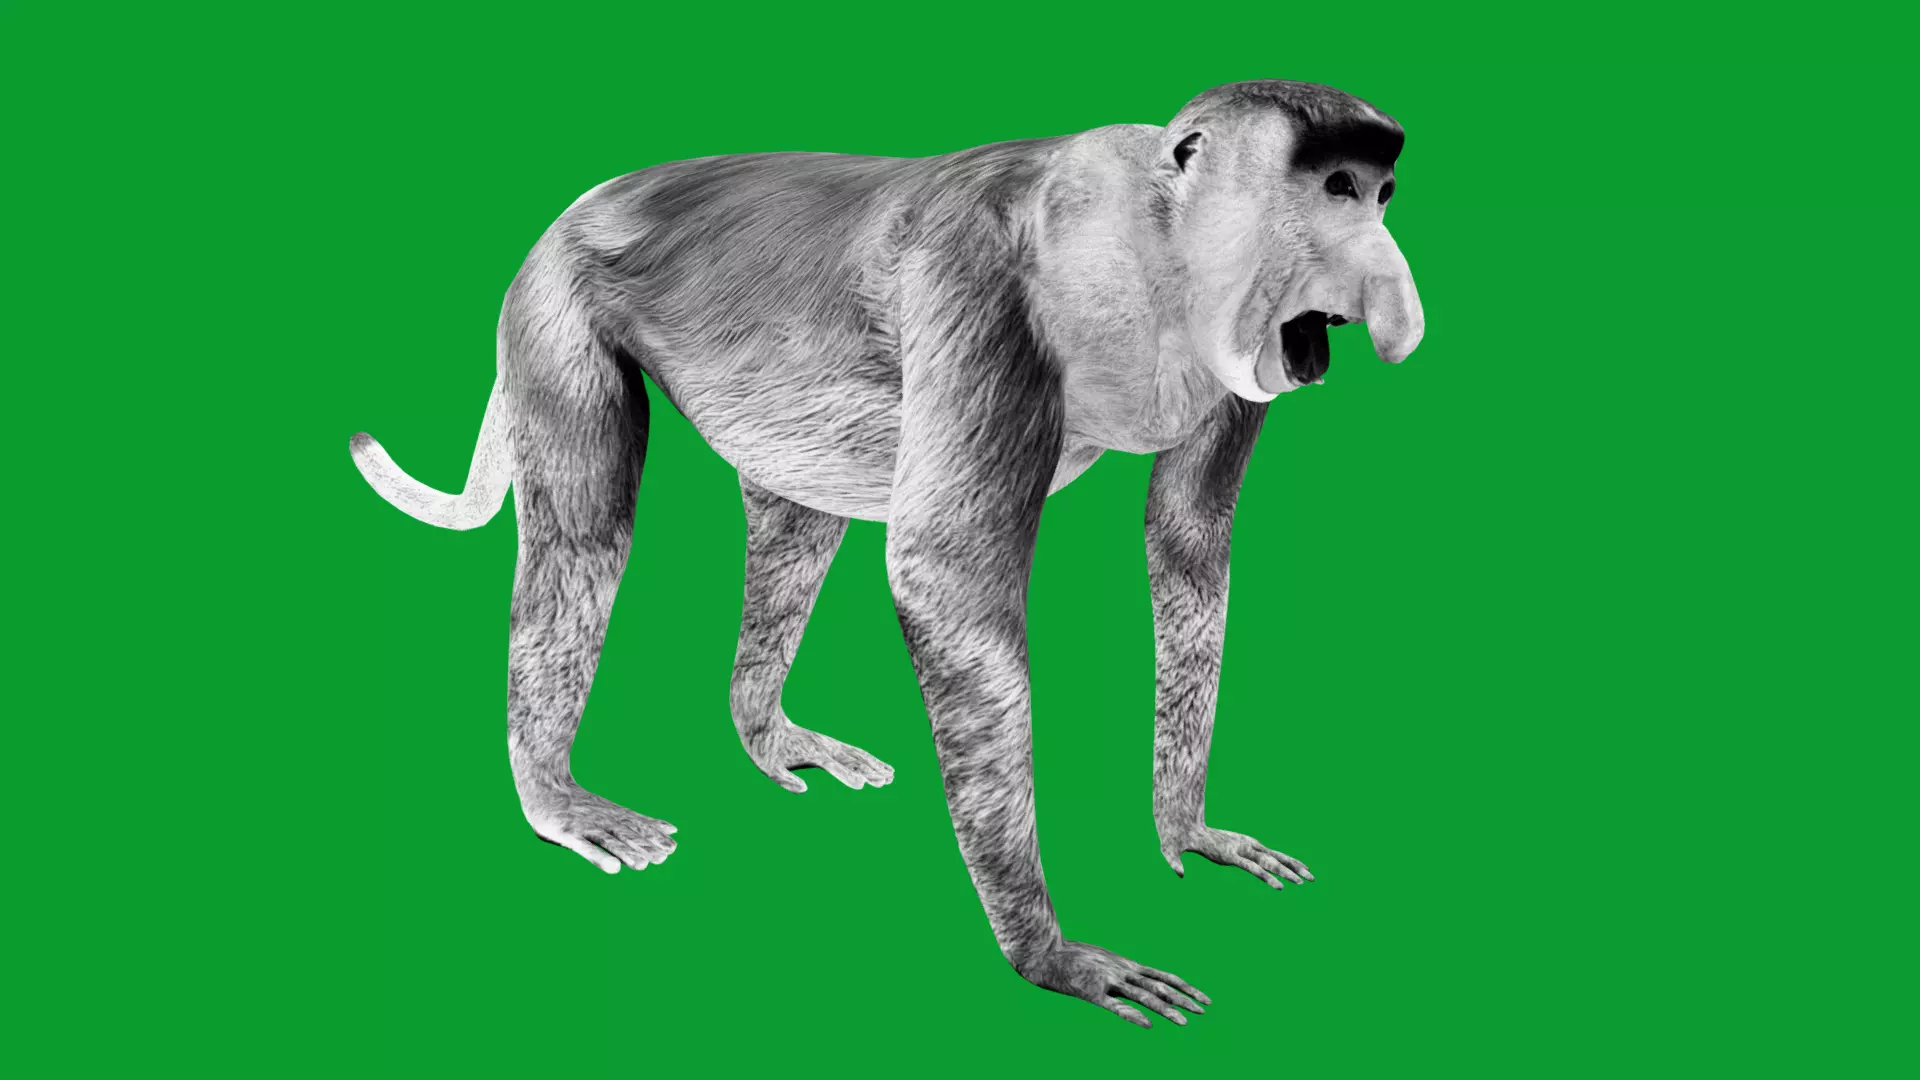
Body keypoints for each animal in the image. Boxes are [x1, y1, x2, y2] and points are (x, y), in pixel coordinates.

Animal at [349, 79, 1424, 1028]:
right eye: (1336, 187)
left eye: (1379, 192)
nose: (1390, 294)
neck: (1153, 236)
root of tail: (574, 209)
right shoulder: (983, 295)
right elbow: (942, 573)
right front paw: (1051, 957)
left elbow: (1189, 549)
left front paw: (1188, 831)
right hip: (552, 313)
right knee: (584, 529)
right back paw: (556, 796)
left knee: (792, 520)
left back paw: (766, 733)